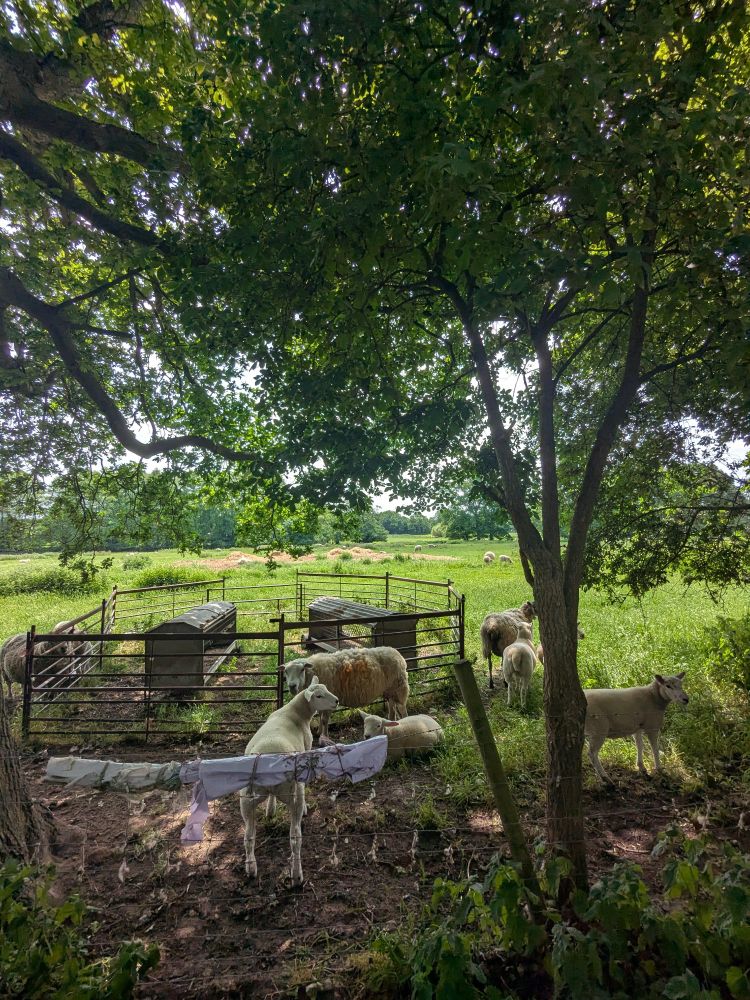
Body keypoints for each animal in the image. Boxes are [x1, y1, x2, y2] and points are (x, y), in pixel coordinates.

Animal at [240, 676, 339, 885]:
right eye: (318, 695)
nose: (336, 701)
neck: (296, 713)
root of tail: (267, 762)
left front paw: (270, 809)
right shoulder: (307, 748)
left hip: (246, 799)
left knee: (248, 836)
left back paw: (251, 868)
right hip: (294, 795)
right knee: (295, 837)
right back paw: (296, 874)